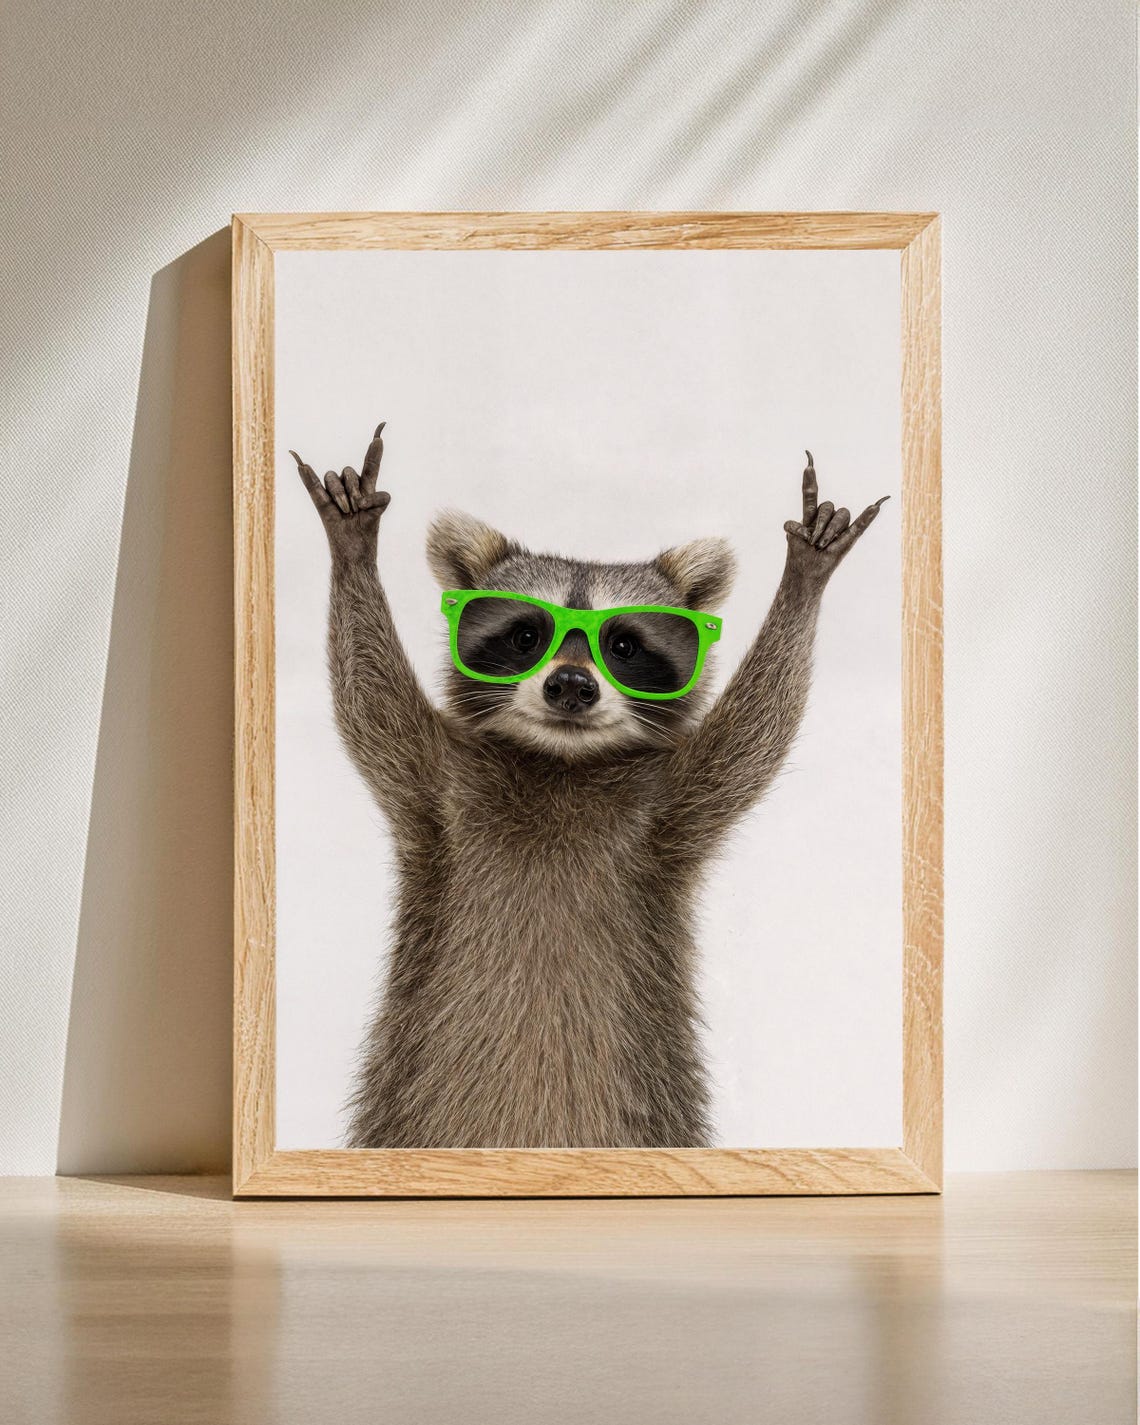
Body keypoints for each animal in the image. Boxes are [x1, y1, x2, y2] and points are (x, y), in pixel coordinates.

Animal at [292, 425, 887, 1148]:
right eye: (526, 634)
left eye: (623, 646)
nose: (572, 686)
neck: (562, 761)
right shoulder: (435, 779)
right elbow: (372, 704)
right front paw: (354, 551)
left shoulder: (673, 803)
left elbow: (752, 737)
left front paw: (803, 581)